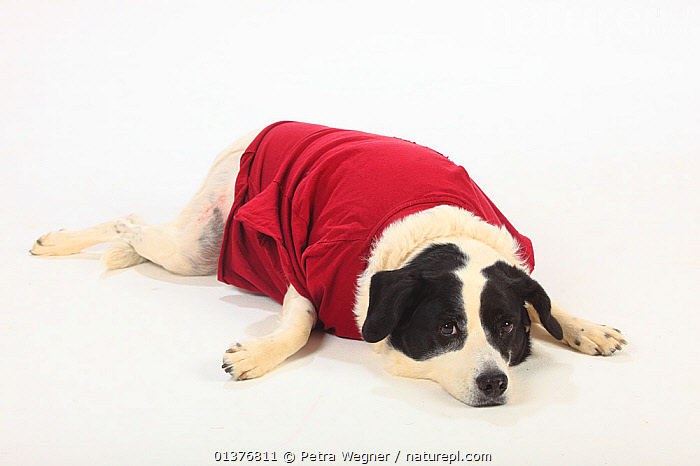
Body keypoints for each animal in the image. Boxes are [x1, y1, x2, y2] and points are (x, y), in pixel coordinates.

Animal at [30, 122, 628, 406]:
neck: (439, 235)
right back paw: (60, 242)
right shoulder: (310, 271)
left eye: (505, 326)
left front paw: (586, 328)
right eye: (446, 329)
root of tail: (252, 134)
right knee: (127, 222)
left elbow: (548, 303)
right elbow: (298, 326)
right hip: (194, 247)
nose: (494, 383)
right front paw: (257, 356)